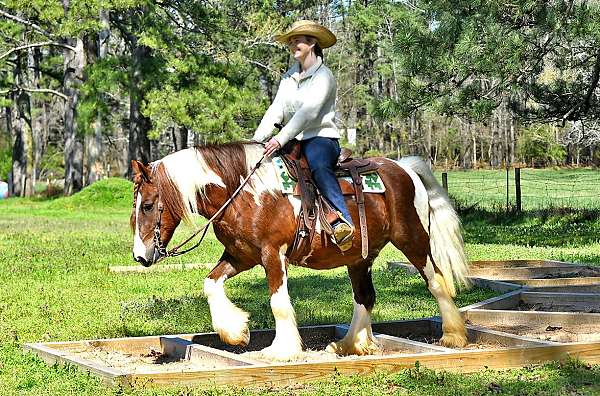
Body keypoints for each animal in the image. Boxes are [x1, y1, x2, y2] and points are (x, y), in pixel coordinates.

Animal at [130, 142, 468, 358]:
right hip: (360, 257)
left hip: (413, 240)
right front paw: (235, 331)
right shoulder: (240, 256)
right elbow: (210, 283)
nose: (140, 256)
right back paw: (350, 344)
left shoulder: (272, 255)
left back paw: (453, 335)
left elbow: (278, 303)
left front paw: (281, 350)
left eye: (148, 205)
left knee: (437, 281)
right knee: (365, 297)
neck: (244, 193)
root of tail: (404, 169)